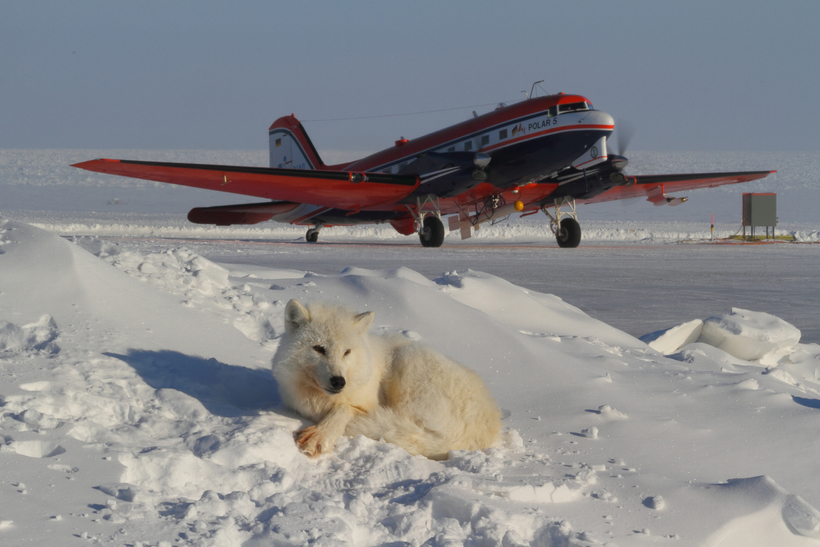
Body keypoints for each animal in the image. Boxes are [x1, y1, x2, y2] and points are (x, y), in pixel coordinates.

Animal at [272, 302, 502, 460]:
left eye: (347, 352)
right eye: (318, 349)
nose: (339, 381)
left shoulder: (364, 403)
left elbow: (345, 409)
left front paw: (321, 434)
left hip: (409, 360)